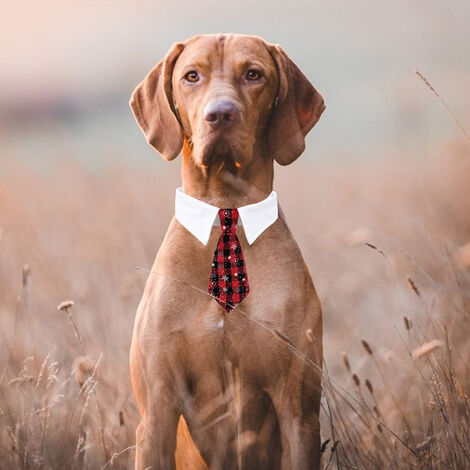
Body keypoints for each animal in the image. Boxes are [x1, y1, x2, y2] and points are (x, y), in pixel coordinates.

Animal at [129, 34, 326, 470]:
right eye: (191, 76)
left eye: (254, 74)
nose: (220, 115)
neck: (226, 208)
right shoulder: (157, 413)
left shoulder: (298, 412)